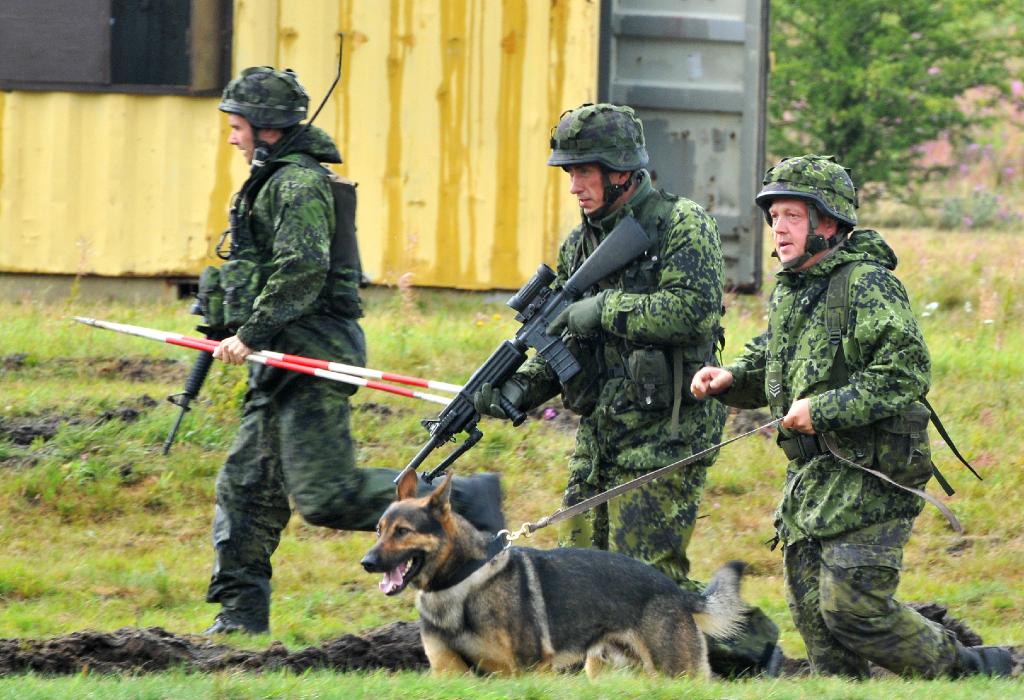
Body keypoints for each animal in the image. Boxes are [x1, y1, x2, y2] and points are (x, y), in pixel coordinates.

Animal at [364, 470, 749, 679]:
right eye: (379, 530)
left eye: (402, 532)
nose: (366, 563)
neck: (459, 581)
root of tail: (677, 591)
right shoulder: (449, 673)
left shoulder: (527, 671)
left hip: (677, 672)